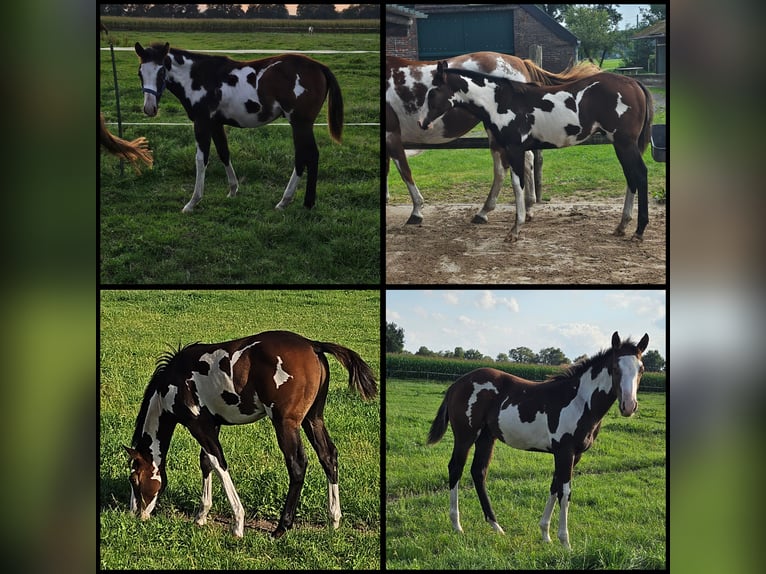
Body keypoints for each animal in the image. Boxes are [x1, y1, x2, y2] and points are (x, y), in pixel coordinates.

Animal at [124, 330, 377, 539]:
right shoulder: (212, 424)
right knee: (328, 456)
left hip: (286, 423)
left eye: (134, 479)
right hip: (312, 420)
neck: (174, 383)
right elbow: (206, 463)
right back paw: (334, 520)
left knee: (297, 465)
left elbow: (219, 464)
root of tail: (313, 345)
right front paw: (201, 516)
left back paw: (281, 528)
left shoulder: (198, 426)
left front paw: (237, 524)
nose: (135, 514)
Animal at [134, 42, 343, 213]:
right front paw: (233, 190)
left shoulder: (202, 124)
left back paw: (291, 201)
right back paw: (299, 202)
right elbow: (224, 153)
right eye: (140, 72)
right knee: (309, 156)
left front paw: (192, 202)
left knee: (305, 156)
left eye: (161, 71)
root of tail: (319, 67)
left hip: (300, 124)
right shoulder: (216, 124)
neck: (199, 77)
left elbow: (201, 160)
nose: (149, 108)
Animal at [386, 53, 601, 226]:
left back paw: (485, 212)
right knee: (526, 160)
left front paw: (416, 212)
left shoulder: (392, 135)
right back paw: (528, 208)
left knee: (502, 169)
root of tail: (520, 62)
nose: (423, 122)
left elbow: (405, 171)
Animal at [419, 61, 654, 242]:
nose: (422, 123)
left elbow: (517, 185)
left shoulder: (514, 149)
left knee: (640, 175)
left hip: (625, 143)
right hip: (621, 144)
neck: (500, 102)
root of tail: (634, 83)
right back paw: (622, 226)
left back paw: (639, 231)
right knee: (631, 177)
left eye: (433, 92)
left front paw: (515, 230)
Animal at [427, 331, 649, 549]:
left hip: (486, 437)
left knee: (478, 472)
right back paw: (457, 525)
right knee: (456, 468)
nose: (629, 406)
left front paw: (546, 535)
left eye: (641, 369)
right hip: (465, 436)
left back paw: (496, 526)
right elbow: (565, 492)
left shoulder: (573, 455)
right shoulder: (565, 452)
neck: (579, 400)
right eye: (615, 368)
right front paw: (565, 543)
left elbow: (555, 487)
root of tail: (458, 384)